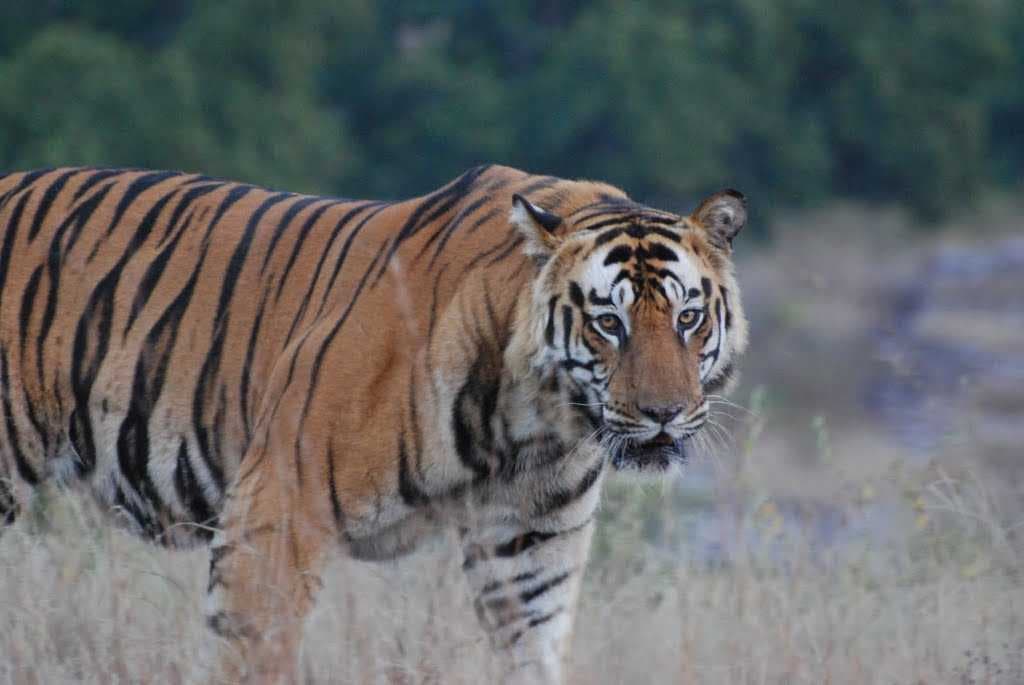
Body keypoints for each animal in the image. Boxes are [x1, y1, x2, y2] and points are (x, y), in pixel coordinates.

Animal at [0, 164, 747, 683]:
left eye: (687, 318)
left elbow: (532, 654)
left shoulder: (532, 545)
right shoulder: (279, 507)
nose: (662, 413)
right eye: (609, 323)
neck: (535, 422)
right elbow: (253, 653)